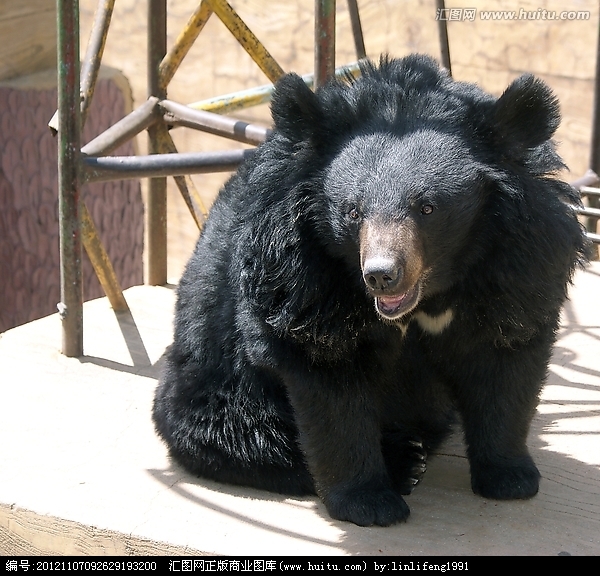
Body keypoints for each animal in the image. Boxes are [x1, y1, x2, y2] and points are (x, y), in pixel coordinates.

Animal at [152, 55, 588, 528]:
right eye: (352, 211)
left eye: (427, 207)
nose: (381, 275)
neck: (427, 298)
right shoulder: (302, 280)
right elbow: (330, 379)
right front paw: (370, 503)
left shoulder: (520, 261)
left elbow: (504, 356)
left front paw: (511, 478)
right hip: (218, 377)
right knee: (239, 432)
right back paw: (406, 459)